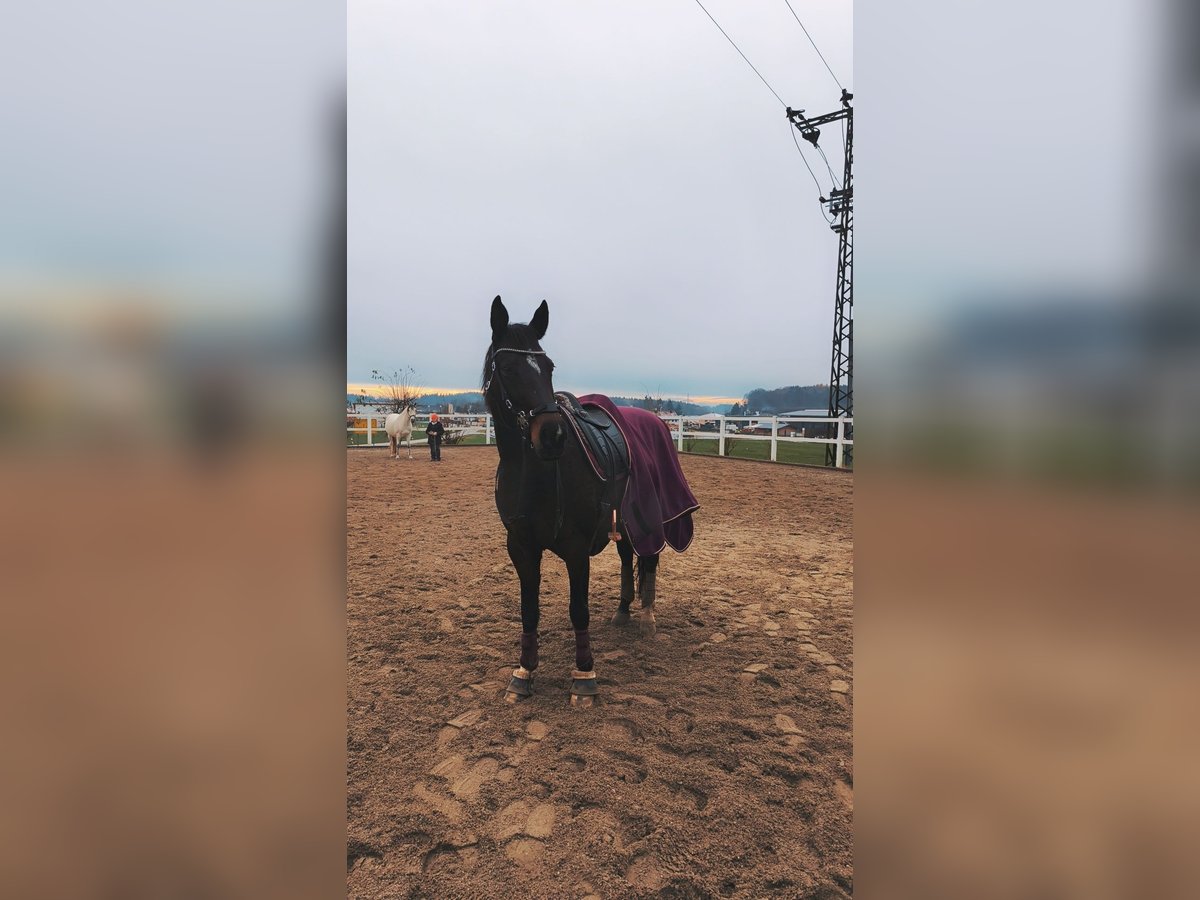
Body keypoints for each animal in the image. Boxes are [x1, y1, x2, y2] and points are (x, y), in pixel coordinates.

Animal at [483, 295, 696, 707]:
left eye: (548, 367)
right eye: (507, 368)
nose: (552, 435)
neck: (533, 473)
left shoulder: (576, 547)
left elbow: (578, 610)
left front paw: (584, 676)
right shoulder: (520, 546)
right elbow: (528, 610)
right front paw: (523, 673)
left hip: (650, 516)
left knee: (649, 559)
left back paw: (646, 617)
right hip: (625, 518)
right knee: (628, 556)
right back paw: (623, 611)